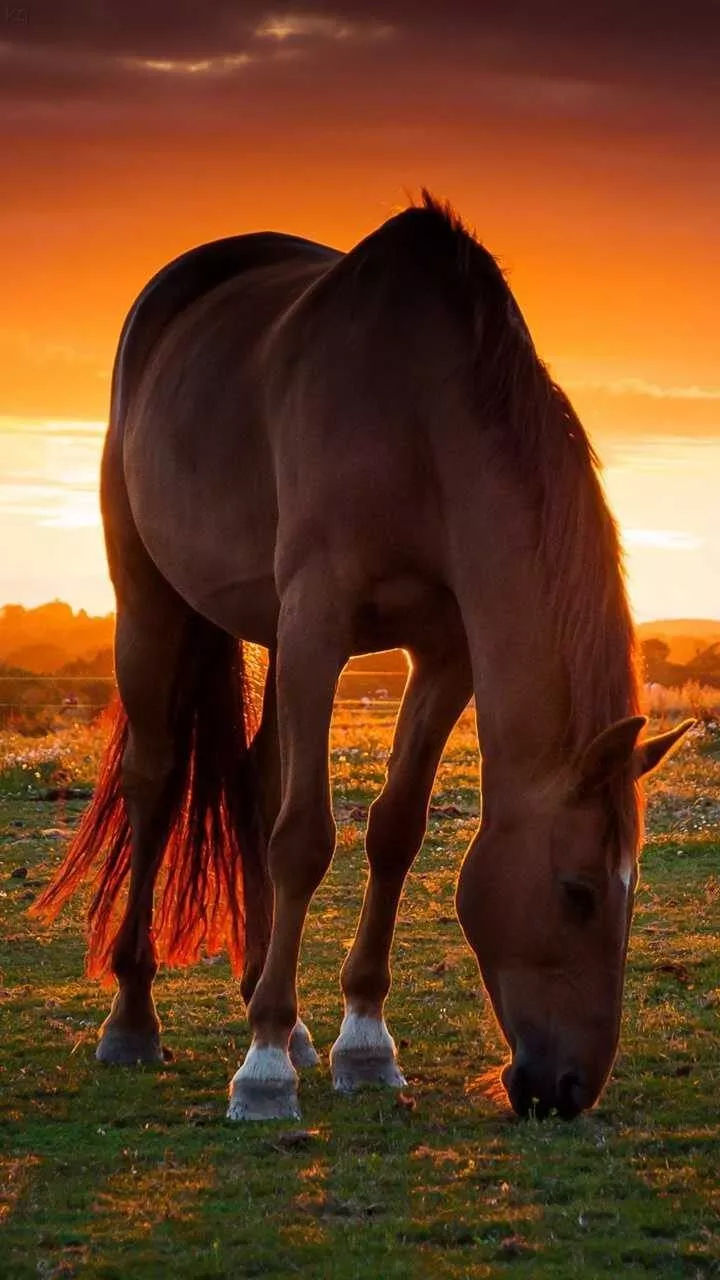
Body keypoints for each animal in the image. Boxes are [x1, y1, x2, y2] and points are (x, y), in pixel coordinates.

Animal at [32, 193, 693, 1122]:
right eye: (579, 893)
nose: (567, 1090)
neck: (421, 418)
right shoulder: (319, 621)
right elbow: (305, 837)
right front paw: (263, 1069)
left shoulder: (444, 652)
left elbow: (394, 829)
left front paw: (362, 1043)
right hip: (152, 601)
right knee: (155, 784)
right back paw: (135, 1020)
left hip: (271, 634)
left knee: (259, 776)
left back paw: (281, 1011)